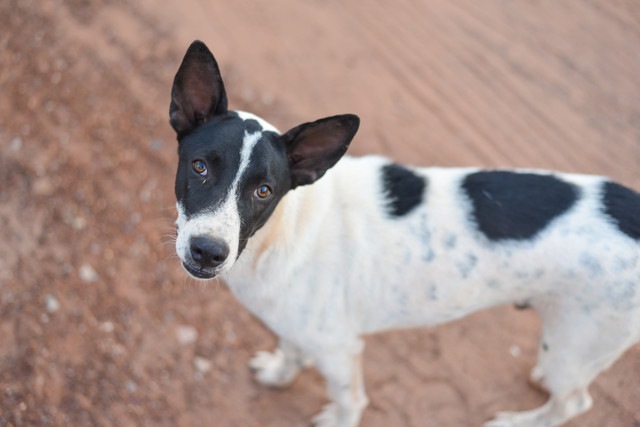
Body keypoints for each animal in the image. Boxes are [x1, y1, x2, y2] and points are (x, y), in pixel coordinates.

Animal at [170, 41, 640, 427]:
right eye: (200, 166)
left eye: (264, 191)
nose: (208, 251)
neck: (284, 229)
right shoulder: (300, 328)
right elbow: (290, 351)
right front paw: (280, 374)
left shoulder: (339, 350)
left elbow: (348, 404)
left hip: (577, 343)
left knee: (573, 403)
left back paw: (518, 422)